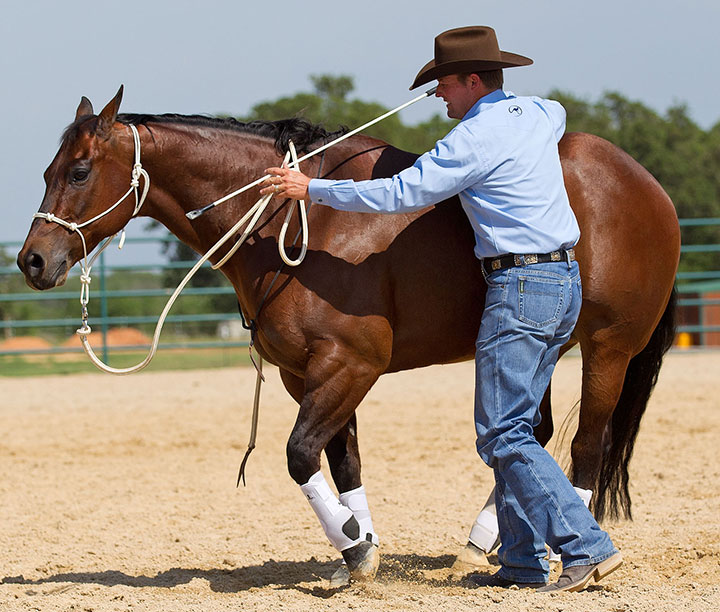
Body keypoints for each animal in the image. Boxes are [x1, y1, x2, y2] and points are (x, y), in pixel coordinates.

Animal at [18, 88, 680, 580]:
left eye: (79, 171)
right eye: (48, 170)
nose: (32, 261)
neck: (293, 223)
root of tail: (649, 186)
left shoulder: (350, 364)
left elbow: (299, 454)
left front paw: (355, 543)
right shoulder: (305, 372)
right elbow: (341, 461)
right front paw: (358, 548)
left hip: (608, 348)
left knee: (585, 445)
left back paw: (575, 555)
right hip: (533, 351)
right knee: (527, 435)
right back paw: (484, 543)